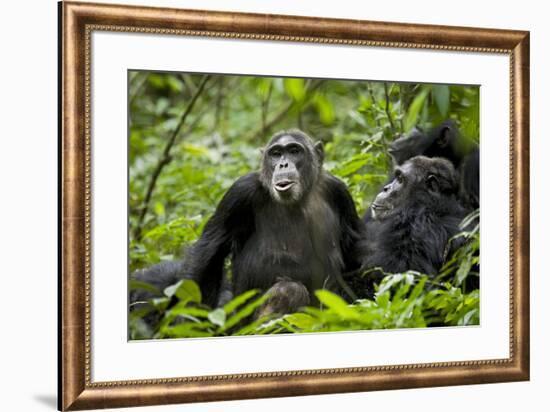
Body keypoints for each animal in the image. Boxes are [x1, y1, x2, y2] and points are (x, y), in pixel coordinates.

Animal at [131, 129, 366, 318]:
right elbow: (208, 252)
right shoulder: (240, 193)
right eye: (275, 154)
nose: (283, 163)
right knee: (290, 290)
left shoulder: (340, 192)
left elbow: (354, 254)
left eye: (294, 151)